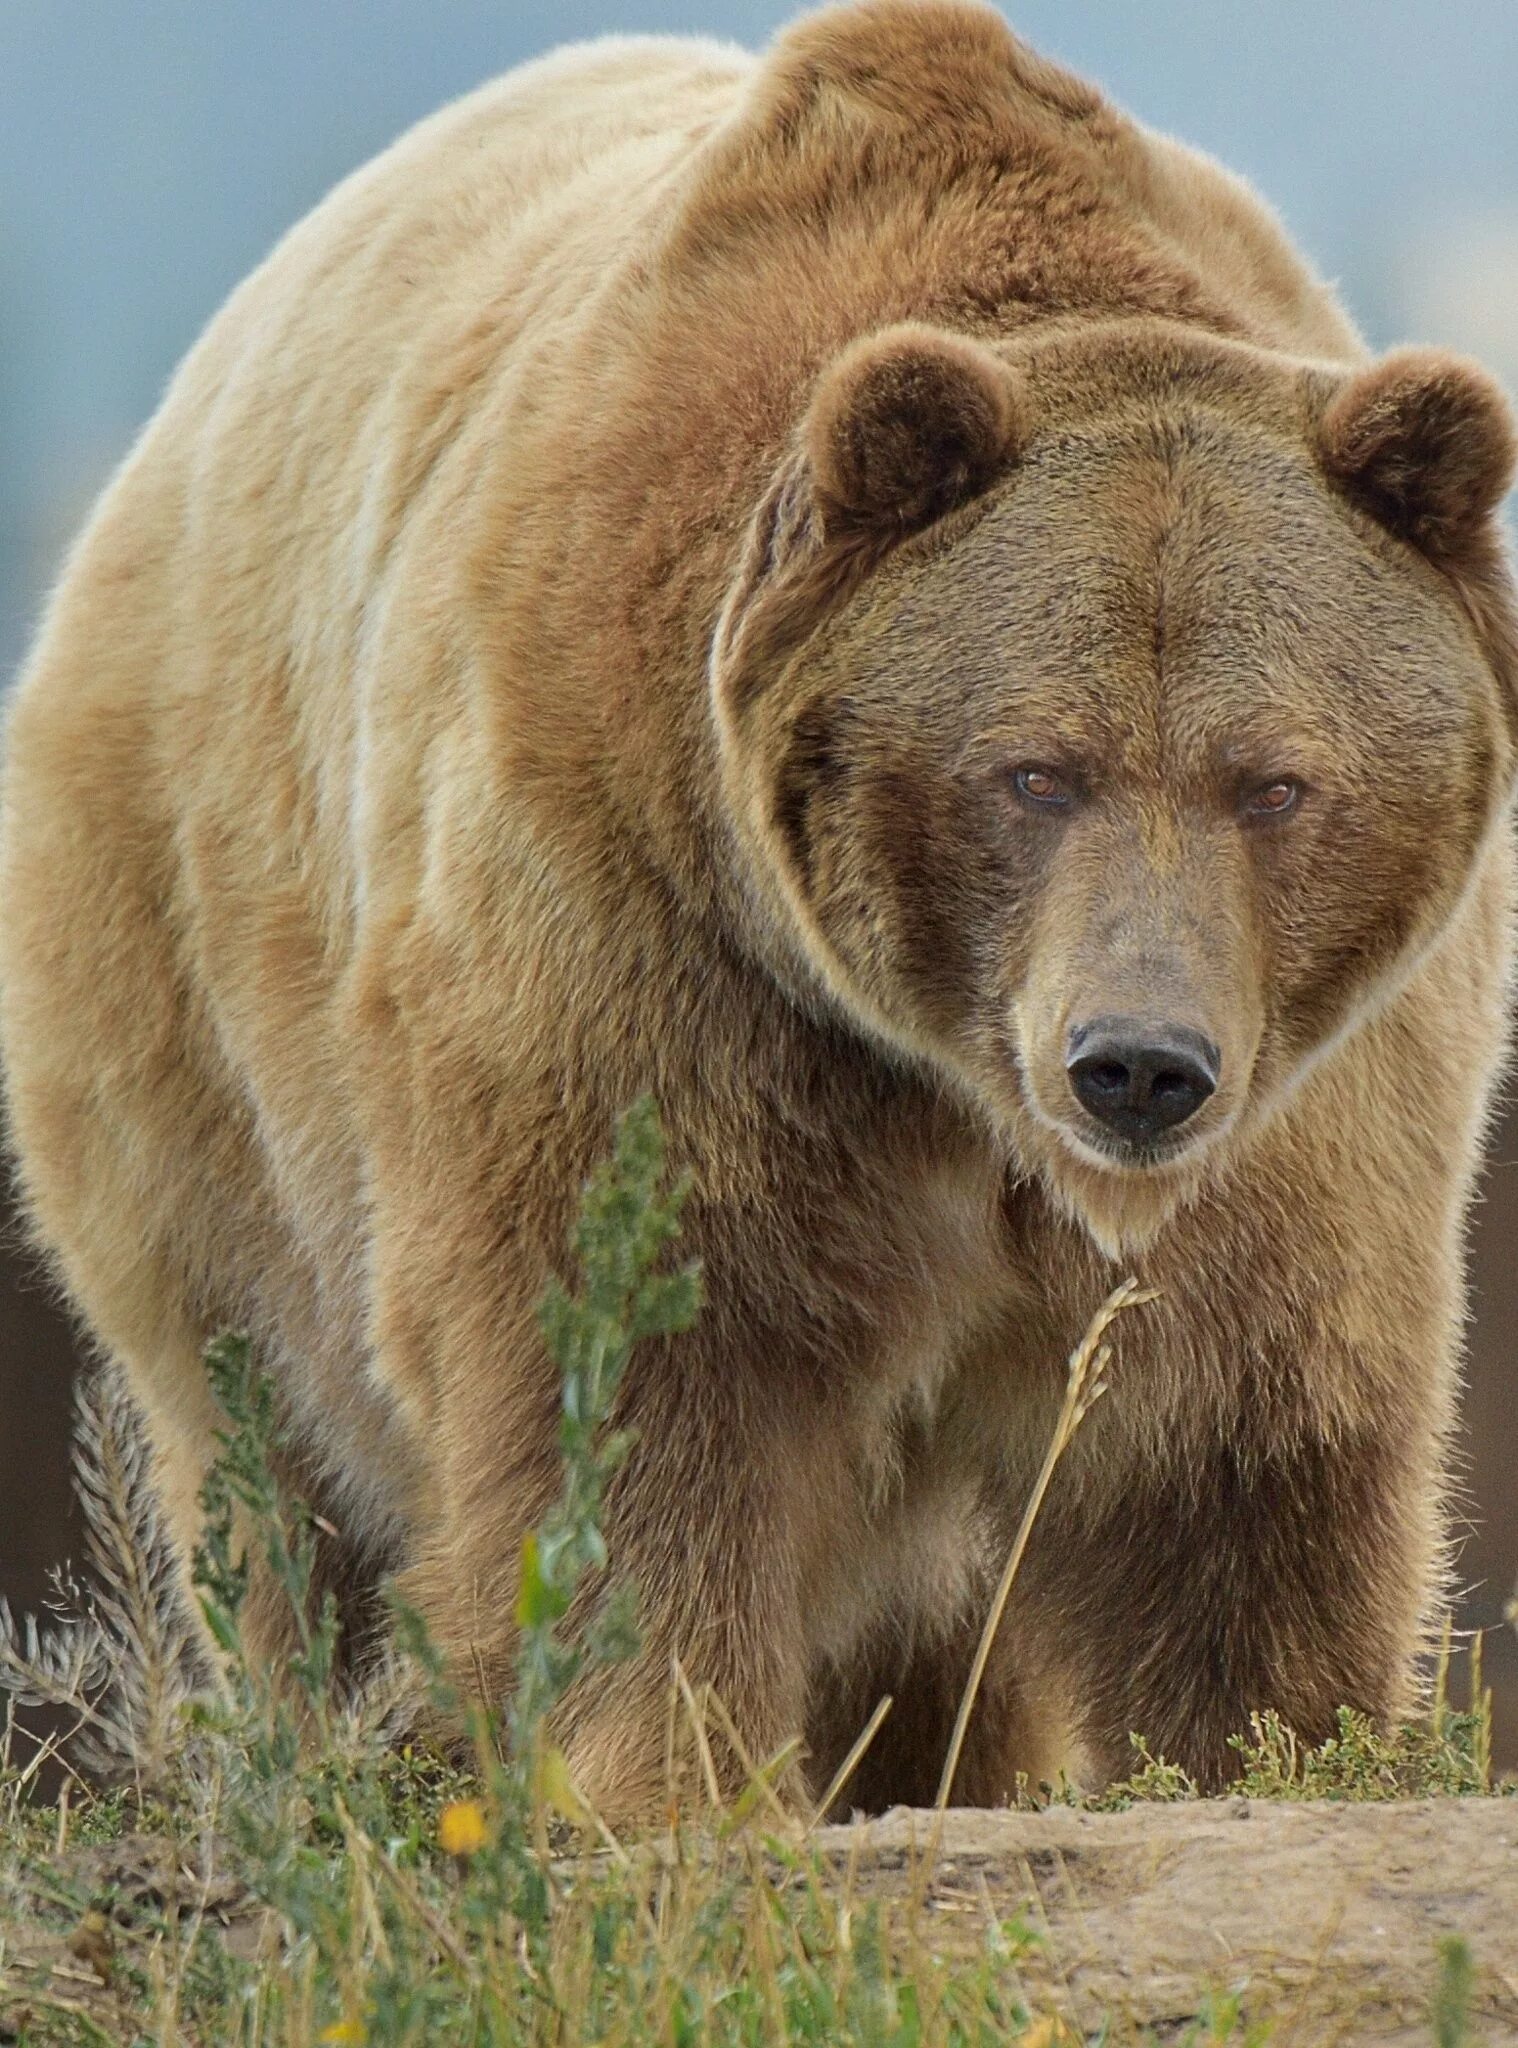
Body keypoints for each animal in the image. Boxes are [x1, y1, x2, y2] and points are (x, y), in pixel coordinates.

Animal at [2, 0, 1515, 1826]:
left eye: (1274, 780)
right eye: (1032, 769)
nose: (1135, 1064)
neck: (949, 1086)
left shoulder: (1311, 1100)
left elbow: (1237, 1471)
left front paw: (1277, 1747)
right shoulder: (651, 935)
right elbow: (637, 1378)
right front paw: (659, 1779)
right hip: (180, 1020)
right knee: (275, 1479)